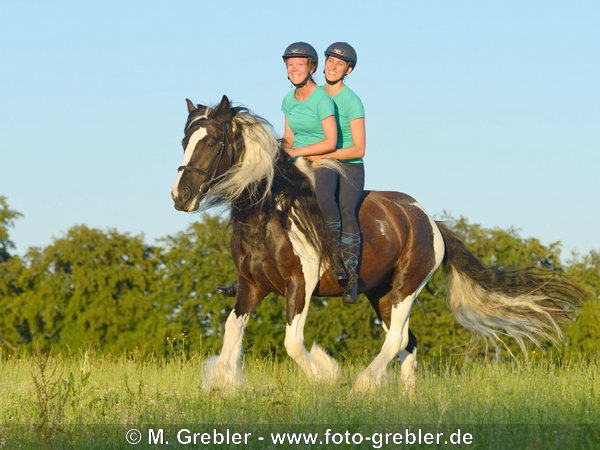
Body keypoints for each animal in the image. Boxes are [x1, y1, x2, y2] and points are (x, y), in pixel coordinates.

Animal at [171, 96, 584, 392]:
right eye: (184, 141)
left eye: (212, 141)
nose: (180, 197)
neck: (269, 210)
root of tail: (429, 221)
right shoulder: (251, 286)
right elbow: (231, 332)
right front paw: (224, 382)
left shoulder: (299, 286)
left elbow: (293, 342)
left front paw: (326, 374)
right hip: (379, 294)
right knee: (407, 342)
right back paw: (407, 397)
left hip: (405, 288)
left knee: (396, 338)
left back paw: (363, 384)